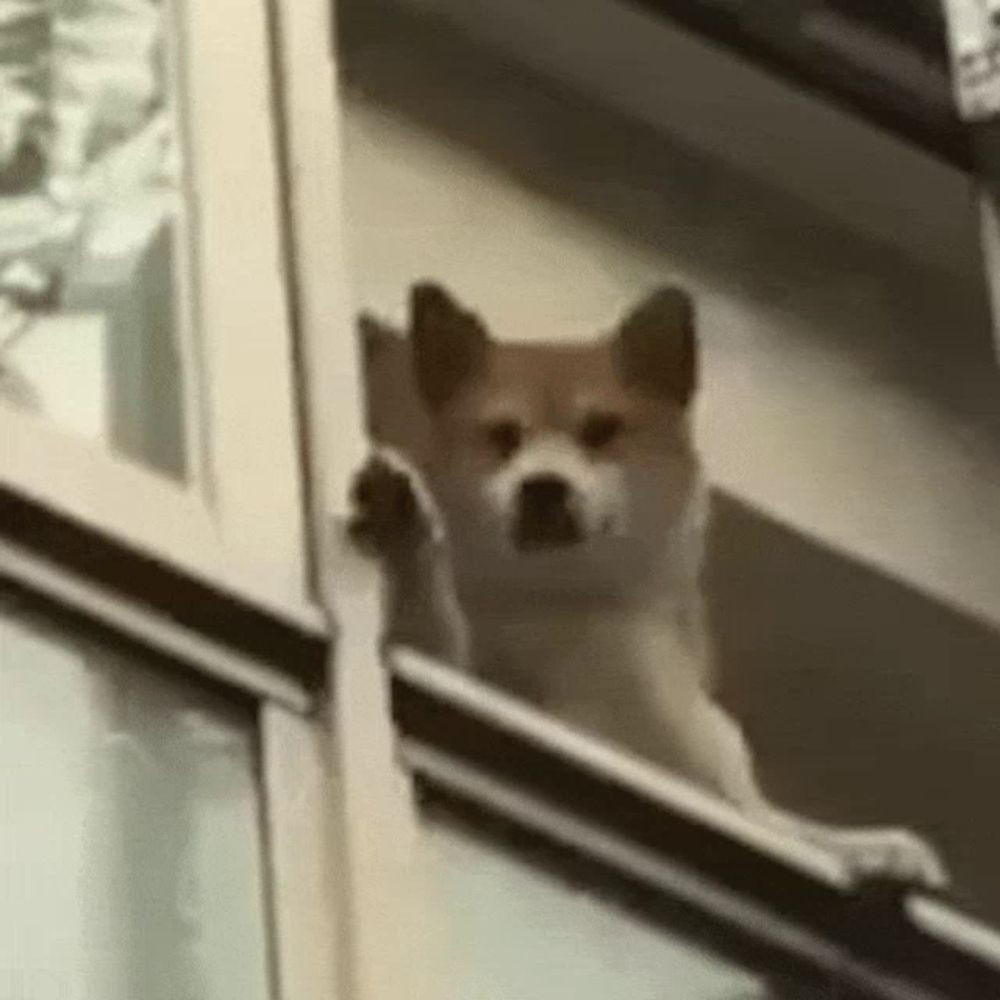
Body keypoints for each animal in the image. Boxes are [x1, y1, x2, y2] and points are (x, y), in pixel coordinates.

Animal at [352, 282, 944, 892]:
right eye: (503, 436)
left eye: (601, 430)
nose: (543, 487)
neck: (573, 615)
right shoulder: (465, 672)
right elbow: (432, 636)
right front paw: (408, 533)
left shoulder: (710, 770)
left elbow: (778, 825)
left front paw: (868, 847)